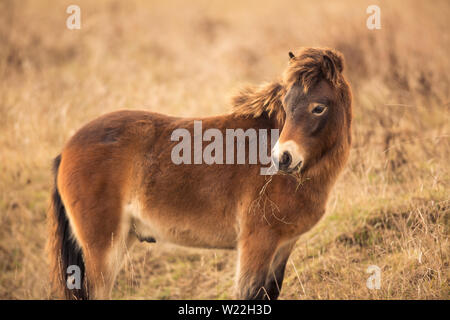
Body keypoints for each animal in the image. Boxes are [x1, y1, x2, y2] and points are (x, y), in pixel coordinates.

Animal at [47, 47, 354, 300]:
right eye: (287, 107)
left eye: (318, 107)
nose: (282, 158)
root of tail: (67, 148)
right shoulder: (257, 243)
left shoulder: (283, 246)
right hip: (103, 248)